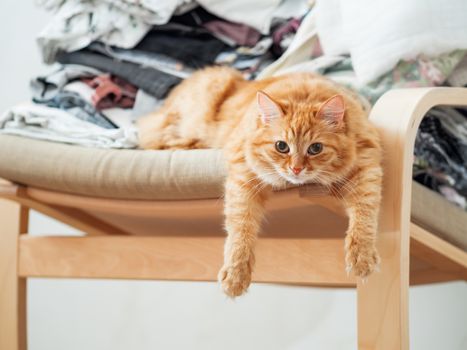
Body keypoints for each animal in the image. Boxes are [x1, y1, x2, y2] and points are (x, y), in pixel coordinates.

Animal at [137, 67, 382, 296]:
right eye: (281, 146)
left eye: (315, 148)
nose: (296, 169)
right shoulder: (244, 177)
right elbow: (240, 229)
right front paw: (236, 276)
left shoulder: (367, 167)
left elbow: (364, 217)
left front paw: (362, 258)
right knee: (157, 139)